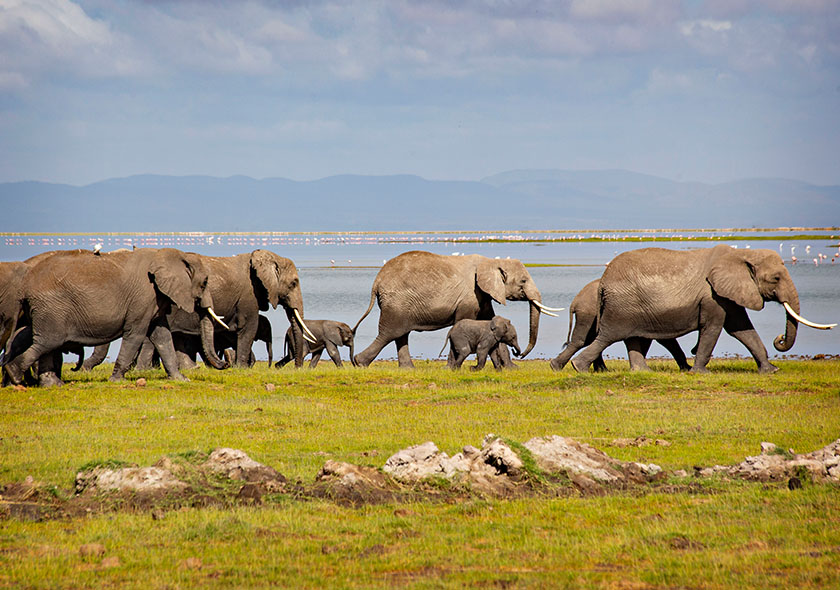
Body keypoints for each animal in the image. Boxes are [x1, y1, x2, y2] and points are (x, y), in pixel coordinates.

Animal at [3, 248, 228, 386]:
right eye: (205, 282)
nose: (224, 365)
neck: (166, 254)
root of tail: (25, 287)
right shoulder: (143, 297)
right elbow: (136, 334)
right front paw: (117, 381)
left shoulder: (154, 299)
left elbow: (162, 336)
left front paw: (181, 380)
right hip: (52, 308)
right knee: (48, 341)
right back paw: (15, 376)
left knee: (45, 343)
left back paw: (52, 384)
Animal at [353, 250, 561, 368]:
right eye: (523, 281)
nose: (520, 354)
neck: (490, 261)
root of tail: (377, 281)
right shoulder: (470, 295)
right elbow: (464, 321)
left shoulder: (482, 294)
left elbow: (490, 322)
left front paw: (511, 368)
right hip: (397, 302)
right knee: (390, 333)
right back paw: (359, 363)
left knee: (400, 334)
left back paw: (407, 369)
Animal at [549, 279, 691, 372]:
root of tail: (575, 301)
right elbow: (664, 339)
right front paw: (686, 369)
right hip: (589, 314)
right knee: (585, 340)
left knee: (587, 340)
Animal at [570, 245, 836, 374]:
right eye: (776, 278)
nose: (779, 338)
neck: (741, 254)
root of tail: (603, 281)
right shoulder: (712, 296)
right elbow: (715, 328)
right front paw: (700, 373)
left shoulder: (728, 294)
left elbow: (742, 329)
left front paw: (771, 371)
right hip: (623, 305)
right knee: (609, 336)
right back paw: (578, 368)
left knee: (631, 338)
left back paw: (642, 371)